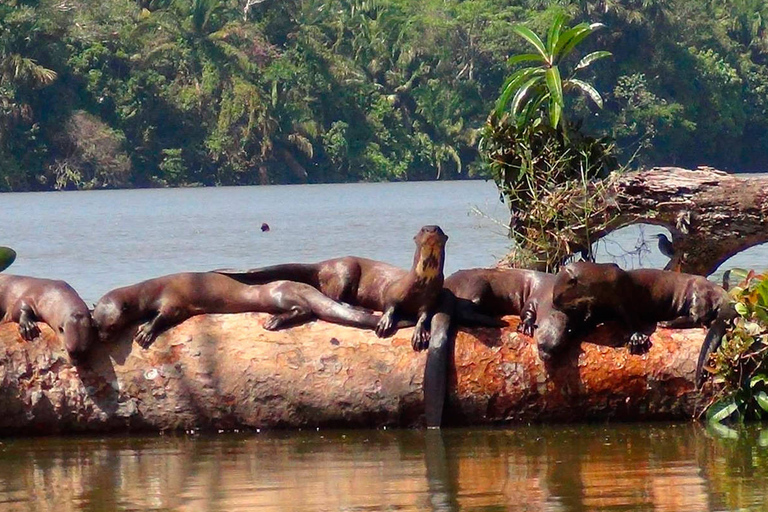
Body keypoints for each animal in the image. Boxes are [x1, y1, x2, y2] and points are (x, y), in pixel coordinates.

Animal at [214, 225, 450, 350]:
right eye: (423, 230)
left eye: (438, 229)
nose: (431, 230)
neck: (420, 282)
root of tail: (323, 264)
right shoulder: (394, 291)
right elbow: (390, 305)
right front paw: (384, 322)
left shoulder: (431, 298)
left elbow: (425, 315)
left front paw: (420, 333)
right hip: (345, 269)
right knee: (336, 296)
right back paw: (359, 308)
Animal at [548, 260, 736, 384]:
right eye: (554, 294)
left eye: (559, 295)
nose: (554, 304)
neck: (602, 283)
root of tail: (720, 290)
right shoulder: (597, 305)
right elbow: (590, 318)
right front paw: (576, 330)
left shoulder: (623, 296)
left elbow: (632, 318)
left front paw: (636, 338)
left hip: (698, 292)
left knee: (698, 316)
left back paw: (667, 323)